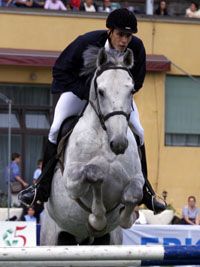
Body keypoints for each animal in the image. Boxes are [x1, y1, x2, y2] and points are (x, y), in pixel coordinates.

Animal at [40, 46, 144, 247]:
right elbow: (95, 173)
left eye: (131, 90)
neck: (105, 137)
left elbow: (132, 195)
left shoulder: (137, 179)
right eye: (101, 91)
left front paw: (126, 218)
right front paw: (97, 219)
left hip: (108, 241)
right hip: (52, 238)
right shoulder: (71, 182)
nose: (119, 143)